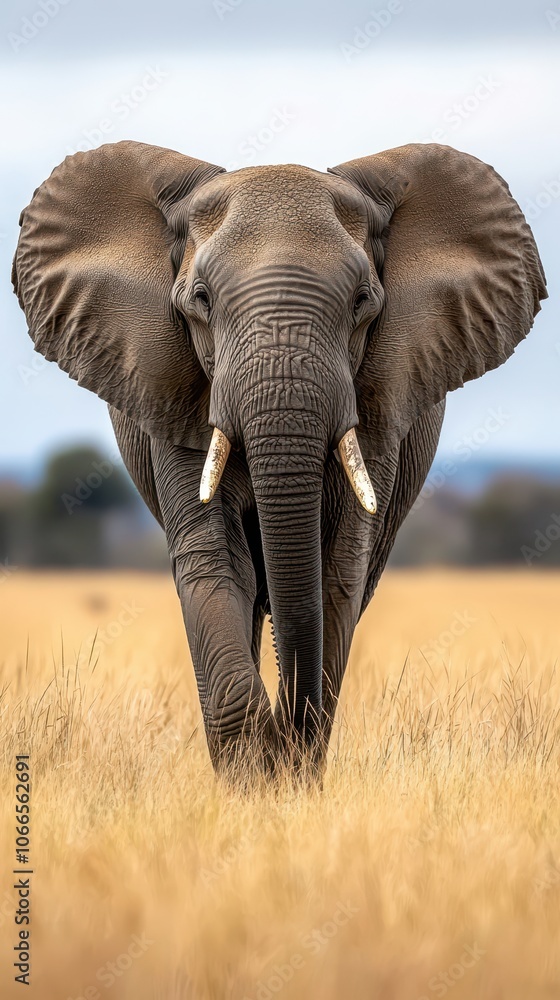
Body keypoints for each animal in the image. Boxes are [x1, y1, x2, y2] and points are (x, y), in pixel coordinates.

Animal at [12, 140, 546, 778]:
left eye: (363, 302)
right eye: (200, 300)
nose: (285, 744)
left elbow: (337, 569)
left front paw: (291, 771)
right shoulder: (174, 393)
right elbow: (214, 561)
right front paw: (255, 775)